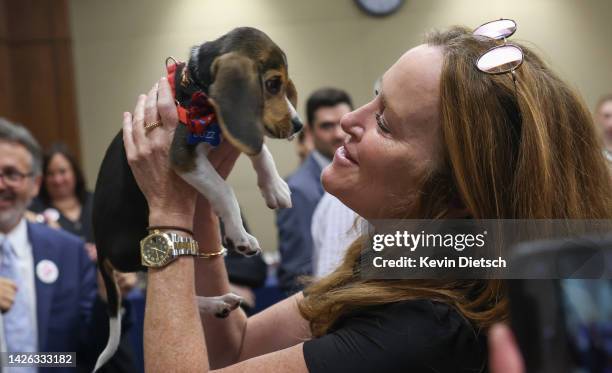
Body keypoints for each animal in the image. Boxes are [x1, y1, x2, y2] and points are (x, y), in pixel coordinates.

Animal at [91, 27, 302, 370]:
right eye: (273, 84)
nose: (298, 125)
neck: (198, 91)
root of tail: (98, 245)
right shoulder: (183, 157)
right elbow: (225, 190)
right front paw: (240, 236)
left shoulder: (232, 129)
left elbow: (259, 150)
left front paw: (275, 186)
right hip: (139, 245)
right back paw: (216, 302)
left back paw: (217, 303)